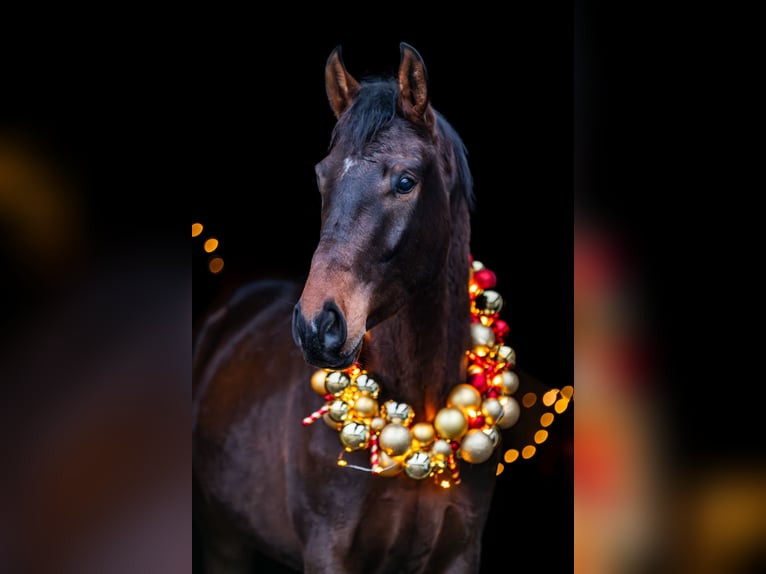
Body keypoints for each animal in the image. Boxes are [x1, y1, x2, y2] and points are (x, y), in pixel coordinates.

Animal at [193, 42, 557, 574]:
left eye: (405, 181)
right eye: (321, 176)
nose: (316, 325)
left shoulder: (460, 553)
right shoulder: (328, 553)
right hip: (223, 541)